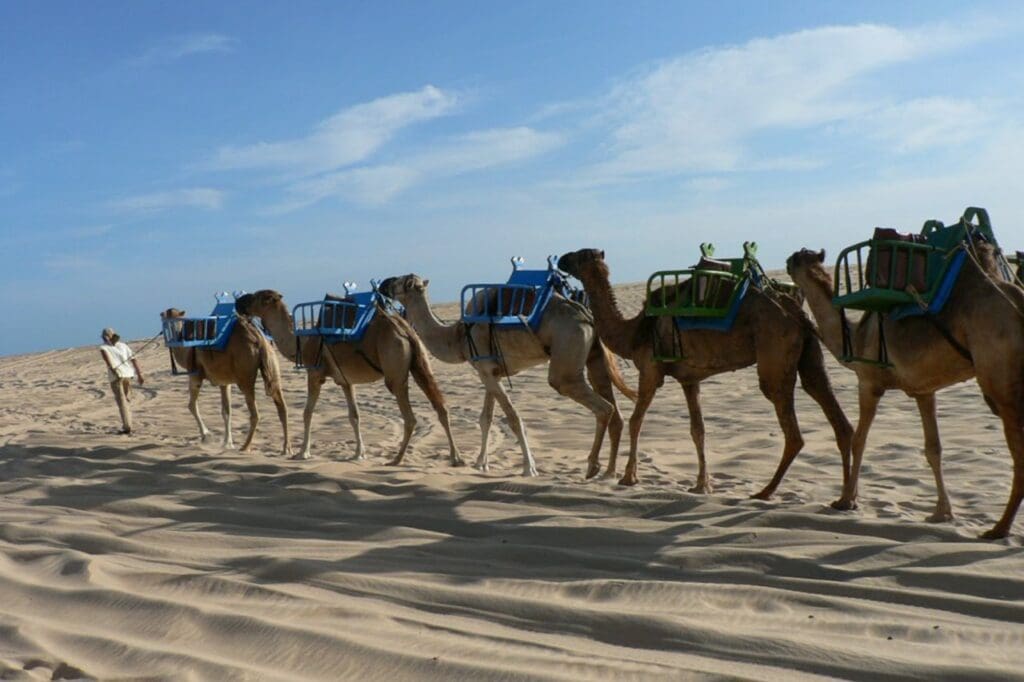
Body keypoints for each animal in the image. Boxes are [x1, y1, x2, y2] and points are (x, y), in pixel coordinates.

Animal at [157, 307, 292, 456]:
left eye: (165, 321)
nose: (171, 338)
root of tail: (259, 340)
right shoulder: (224, 382)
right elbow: (226, 411)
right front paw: (228, 443)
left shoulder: (195, 375)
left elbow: (191, 406)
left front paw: (207, 436)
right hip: (272, 362)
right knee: (282, 406)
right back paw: (286, 448)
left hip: (245, 375)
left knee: (255, 414)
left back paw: (245, 446)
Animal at [234, 286, 462, 466]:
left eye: (259, 297)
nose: (239, 302)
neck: (303, 341)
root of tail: (404, 330)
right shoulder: (345, 381)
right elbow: (354, 416)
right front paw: (359, 454)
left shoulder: (315, 374)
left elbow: (307, 413)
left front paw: (302, 453)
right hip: (419, 362)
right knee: (441, 406)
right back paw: (456, 457)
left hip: (395, 371)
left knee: (410, 417)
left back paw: (396, 459)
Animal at [380, 274, 634, 475]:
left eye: (401, 281)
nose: (383, 283)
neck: (458, 336)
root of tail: (586, 315)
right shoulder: (490, 372)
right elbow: (486, 418)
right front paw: (481, 463)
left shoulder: (486, 371)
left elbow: (513, 417)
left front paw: (529, 468)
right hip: (593, 356)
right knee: (611, 407)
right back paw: (610, 472)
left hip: (567, 358)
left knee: (600, 406)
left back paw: (593, 466)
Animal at [557, 246, 851, 497]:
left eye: (579, 255)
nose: (561, 259)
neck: (633, 331)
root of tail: (794, 311)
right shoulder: (690, 380)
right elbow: (698, 430)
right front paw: (702, 485)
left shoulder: (650, 372)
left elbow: (635, 421)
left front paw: (629, 477)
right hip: (809, 354)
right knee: (828, 403)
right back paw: (844, 500)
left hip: (776, 354)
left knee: (793, 431)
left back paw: (765, 492)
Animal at [786, 242, 1019, 536]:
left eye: (797, 258)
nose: (786, 262)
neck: (855, 336)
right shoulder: (924, 390)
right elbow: (933, 448)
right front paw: (942, 513)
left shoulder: (868, 383)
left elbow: (859, 440)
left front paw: (846, 500)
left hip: (1000, 379)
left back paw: (999, 528)